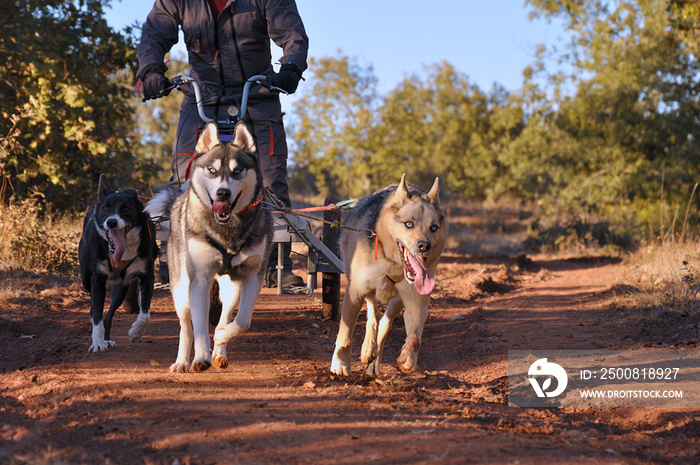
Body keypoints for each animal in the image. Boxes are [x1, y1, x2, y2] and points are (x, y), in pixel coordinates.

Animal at [78, 174, 158, 352]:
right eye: (106, 208)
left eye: (125, 208)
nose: (111, 222)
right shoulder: (97, 279)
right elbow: (97, 314)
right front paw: (98, 342)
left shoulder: (147, 276)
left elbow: (145, 313)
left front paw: (136, 332)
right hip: (86, 279)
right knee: (96, 311)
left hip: (122, 287)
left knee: (109, 314)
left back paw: (108, 338)